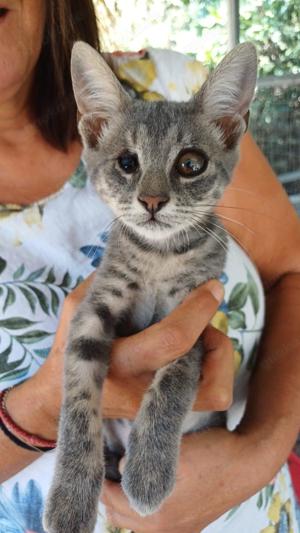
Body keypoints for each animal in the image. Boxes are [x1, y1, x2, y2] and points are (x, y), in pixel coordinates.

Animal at [44, 42, 258, 532]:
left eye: (191, 163)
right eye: (127, 162)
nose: (153, 200)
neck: (160, 257)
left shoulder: (195, 317)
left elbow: (173, 383)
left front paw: (149, 471)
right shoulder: (92, 311)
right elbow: (78, 398)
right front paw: (70, 495)